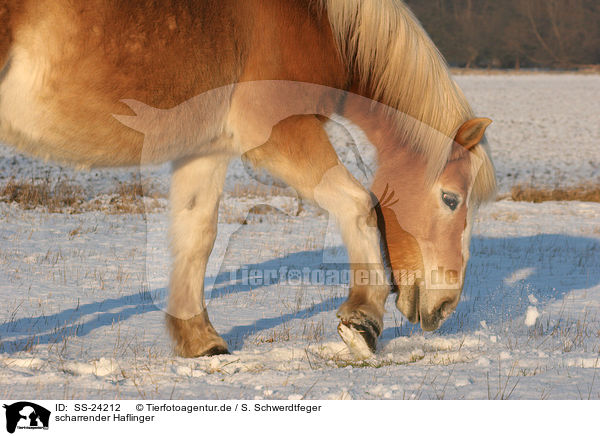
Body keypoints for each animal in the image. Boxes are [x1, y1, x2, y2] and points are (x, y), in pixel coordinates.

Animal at [0, 0, 496, 360]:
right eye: (451, 199)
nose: (446, 305)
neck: (315, 20)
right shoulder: (281, 135)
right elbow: (357, 204)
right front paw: (363, 321)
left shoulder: (206, 149)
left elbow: (197, 236)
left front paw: (200, 340)